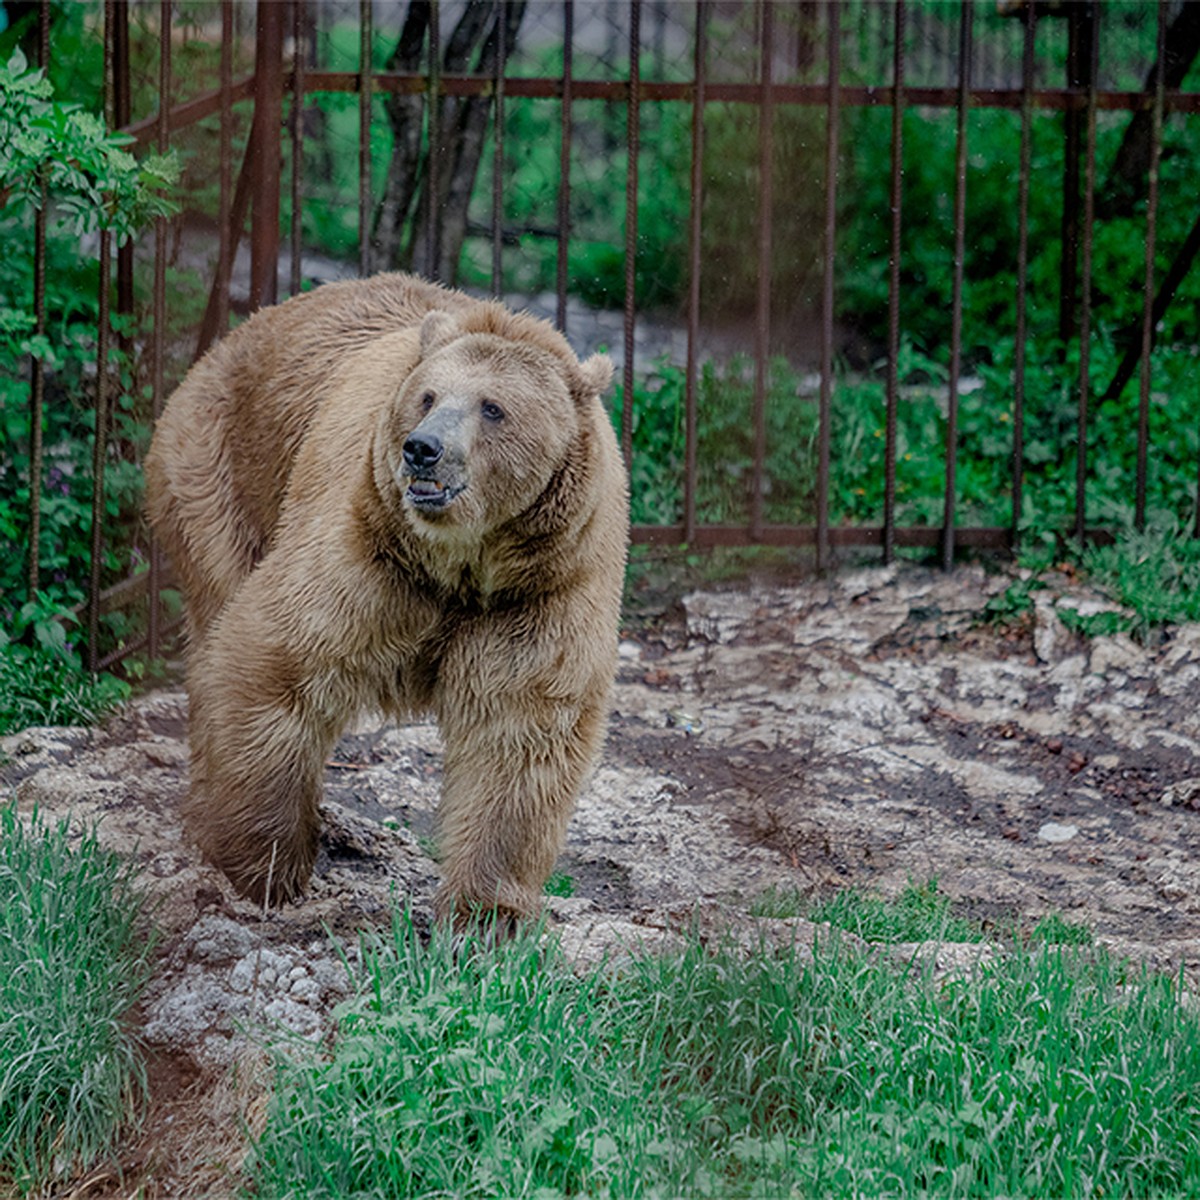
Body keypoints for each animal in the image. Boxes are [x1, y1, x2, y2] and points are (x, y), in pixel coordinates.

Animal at [147, 276, 628, 921]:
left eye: (493, 407)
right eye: (427, 396)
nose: (422, 449)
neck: (462, 563)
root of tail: (230, 339)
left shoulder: (541, 588)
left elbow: (520, 732)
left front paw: (484, 914)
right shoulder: (372, 549)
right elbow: (275, 661)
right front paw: (266, 870)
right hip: (219, 478)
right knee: (213, 632)